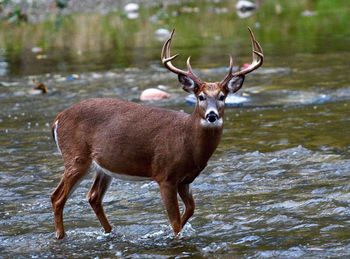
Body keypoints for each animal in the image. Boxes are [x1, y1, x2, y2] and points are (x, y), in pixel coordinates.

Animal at [49, 27, 262, 240]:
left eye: (222, 96)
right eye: (200, 97)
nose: (211, 115)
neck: (188, 142)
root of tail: (58, 118)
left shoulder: (185, 180)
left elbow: (190, 210)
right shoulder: (165, 175)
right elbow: (175, 222)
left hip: (103, 166)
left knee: (93, 197)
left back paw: (110, 232)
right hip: (76, 156)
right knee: (57, 197)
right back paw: (61, 236)